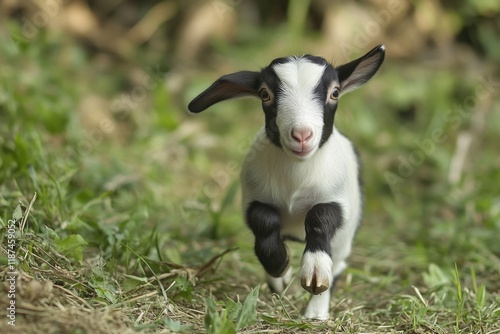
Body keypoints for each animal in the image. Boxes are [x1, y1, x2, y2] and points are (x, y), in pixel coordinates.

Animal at [188, 45, 386, 320]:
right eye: (265, 94)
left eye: (335, 92)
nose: (302, 135)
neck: (296, 177)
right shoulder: (254, 198)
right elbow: (264, 222)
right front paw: (280, 267)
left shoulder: (336, 200)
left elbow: (319, 218)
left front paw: (314, 272)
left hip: (345, 239)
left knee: (337, 266)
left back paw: (316, 311)